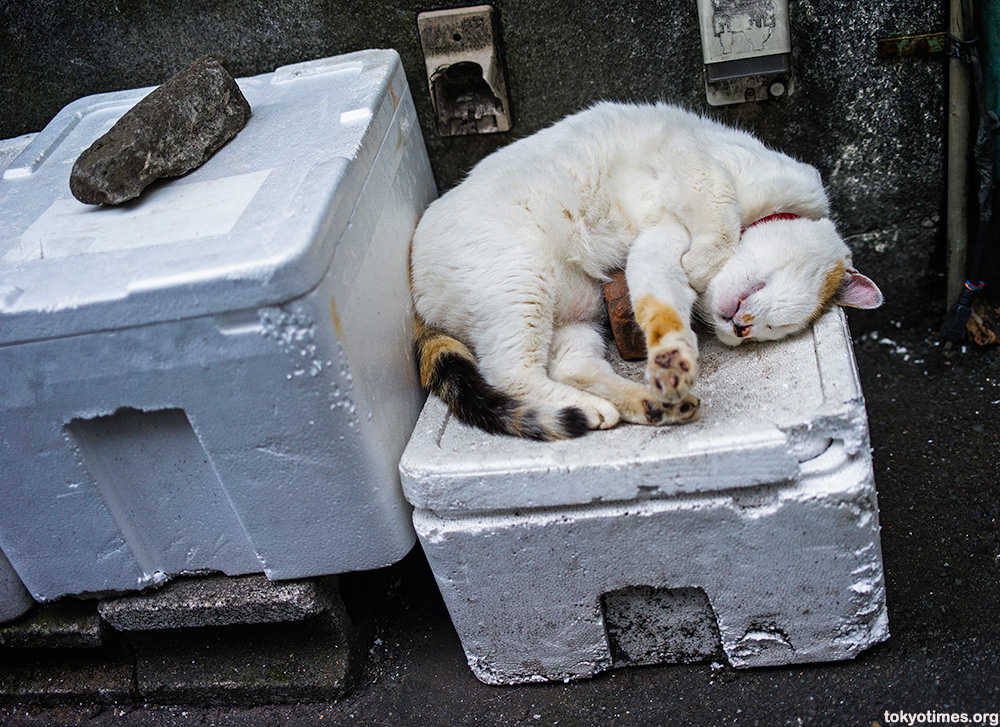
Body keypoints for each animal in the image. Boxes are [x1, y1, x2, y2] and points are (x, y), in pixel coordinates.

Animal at [410, 101, 880, 440]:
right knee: (510, 374)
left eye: (769, 331)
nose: (742, 328)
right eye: (764, 294)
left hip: (574, 318)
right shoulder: (696, 161)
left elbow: (660, 302)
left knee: (569, 368)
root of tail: (414, 290)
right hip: (521, 279)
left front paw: (674, 358)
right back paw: (586, 409)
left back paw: (648, 403)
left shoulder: (656, 245)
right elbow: (719, 218)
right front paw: (703, 265)